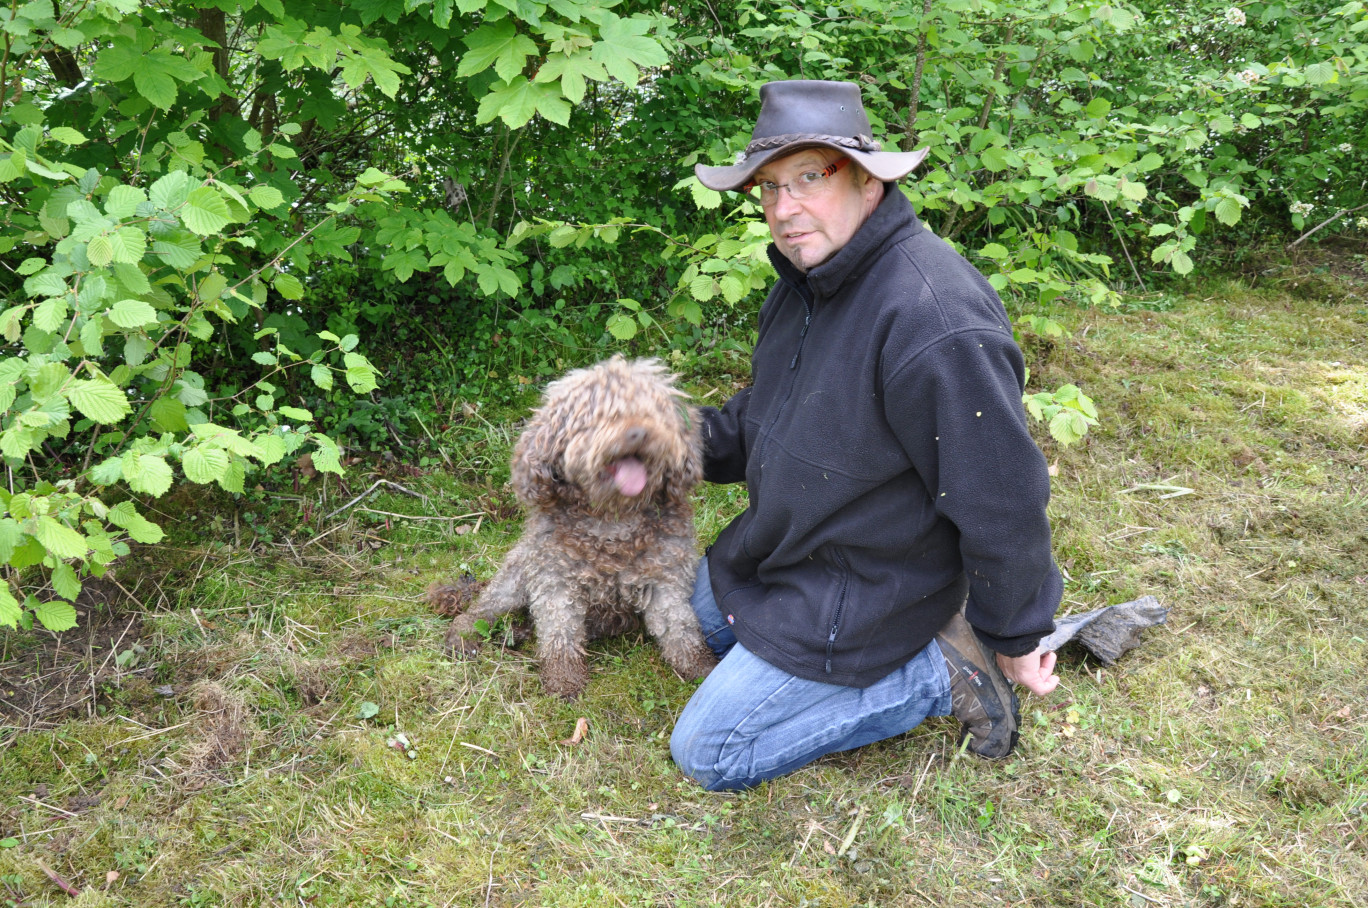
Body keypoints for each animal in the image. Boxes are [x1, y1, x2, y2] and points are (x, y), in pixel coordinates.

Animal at [443, 358, 716, 697]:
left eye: (652, 411)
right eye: (600, 416)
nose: (639, 432)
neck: (612, 519)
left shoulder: (665, 579)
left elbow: (681, 628)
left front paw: (700, 668)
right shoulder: (555, 581)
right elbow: (560, 632)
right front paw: (564, 680)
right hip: (516, 577)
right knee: (482, 610)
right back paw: (464, 636)